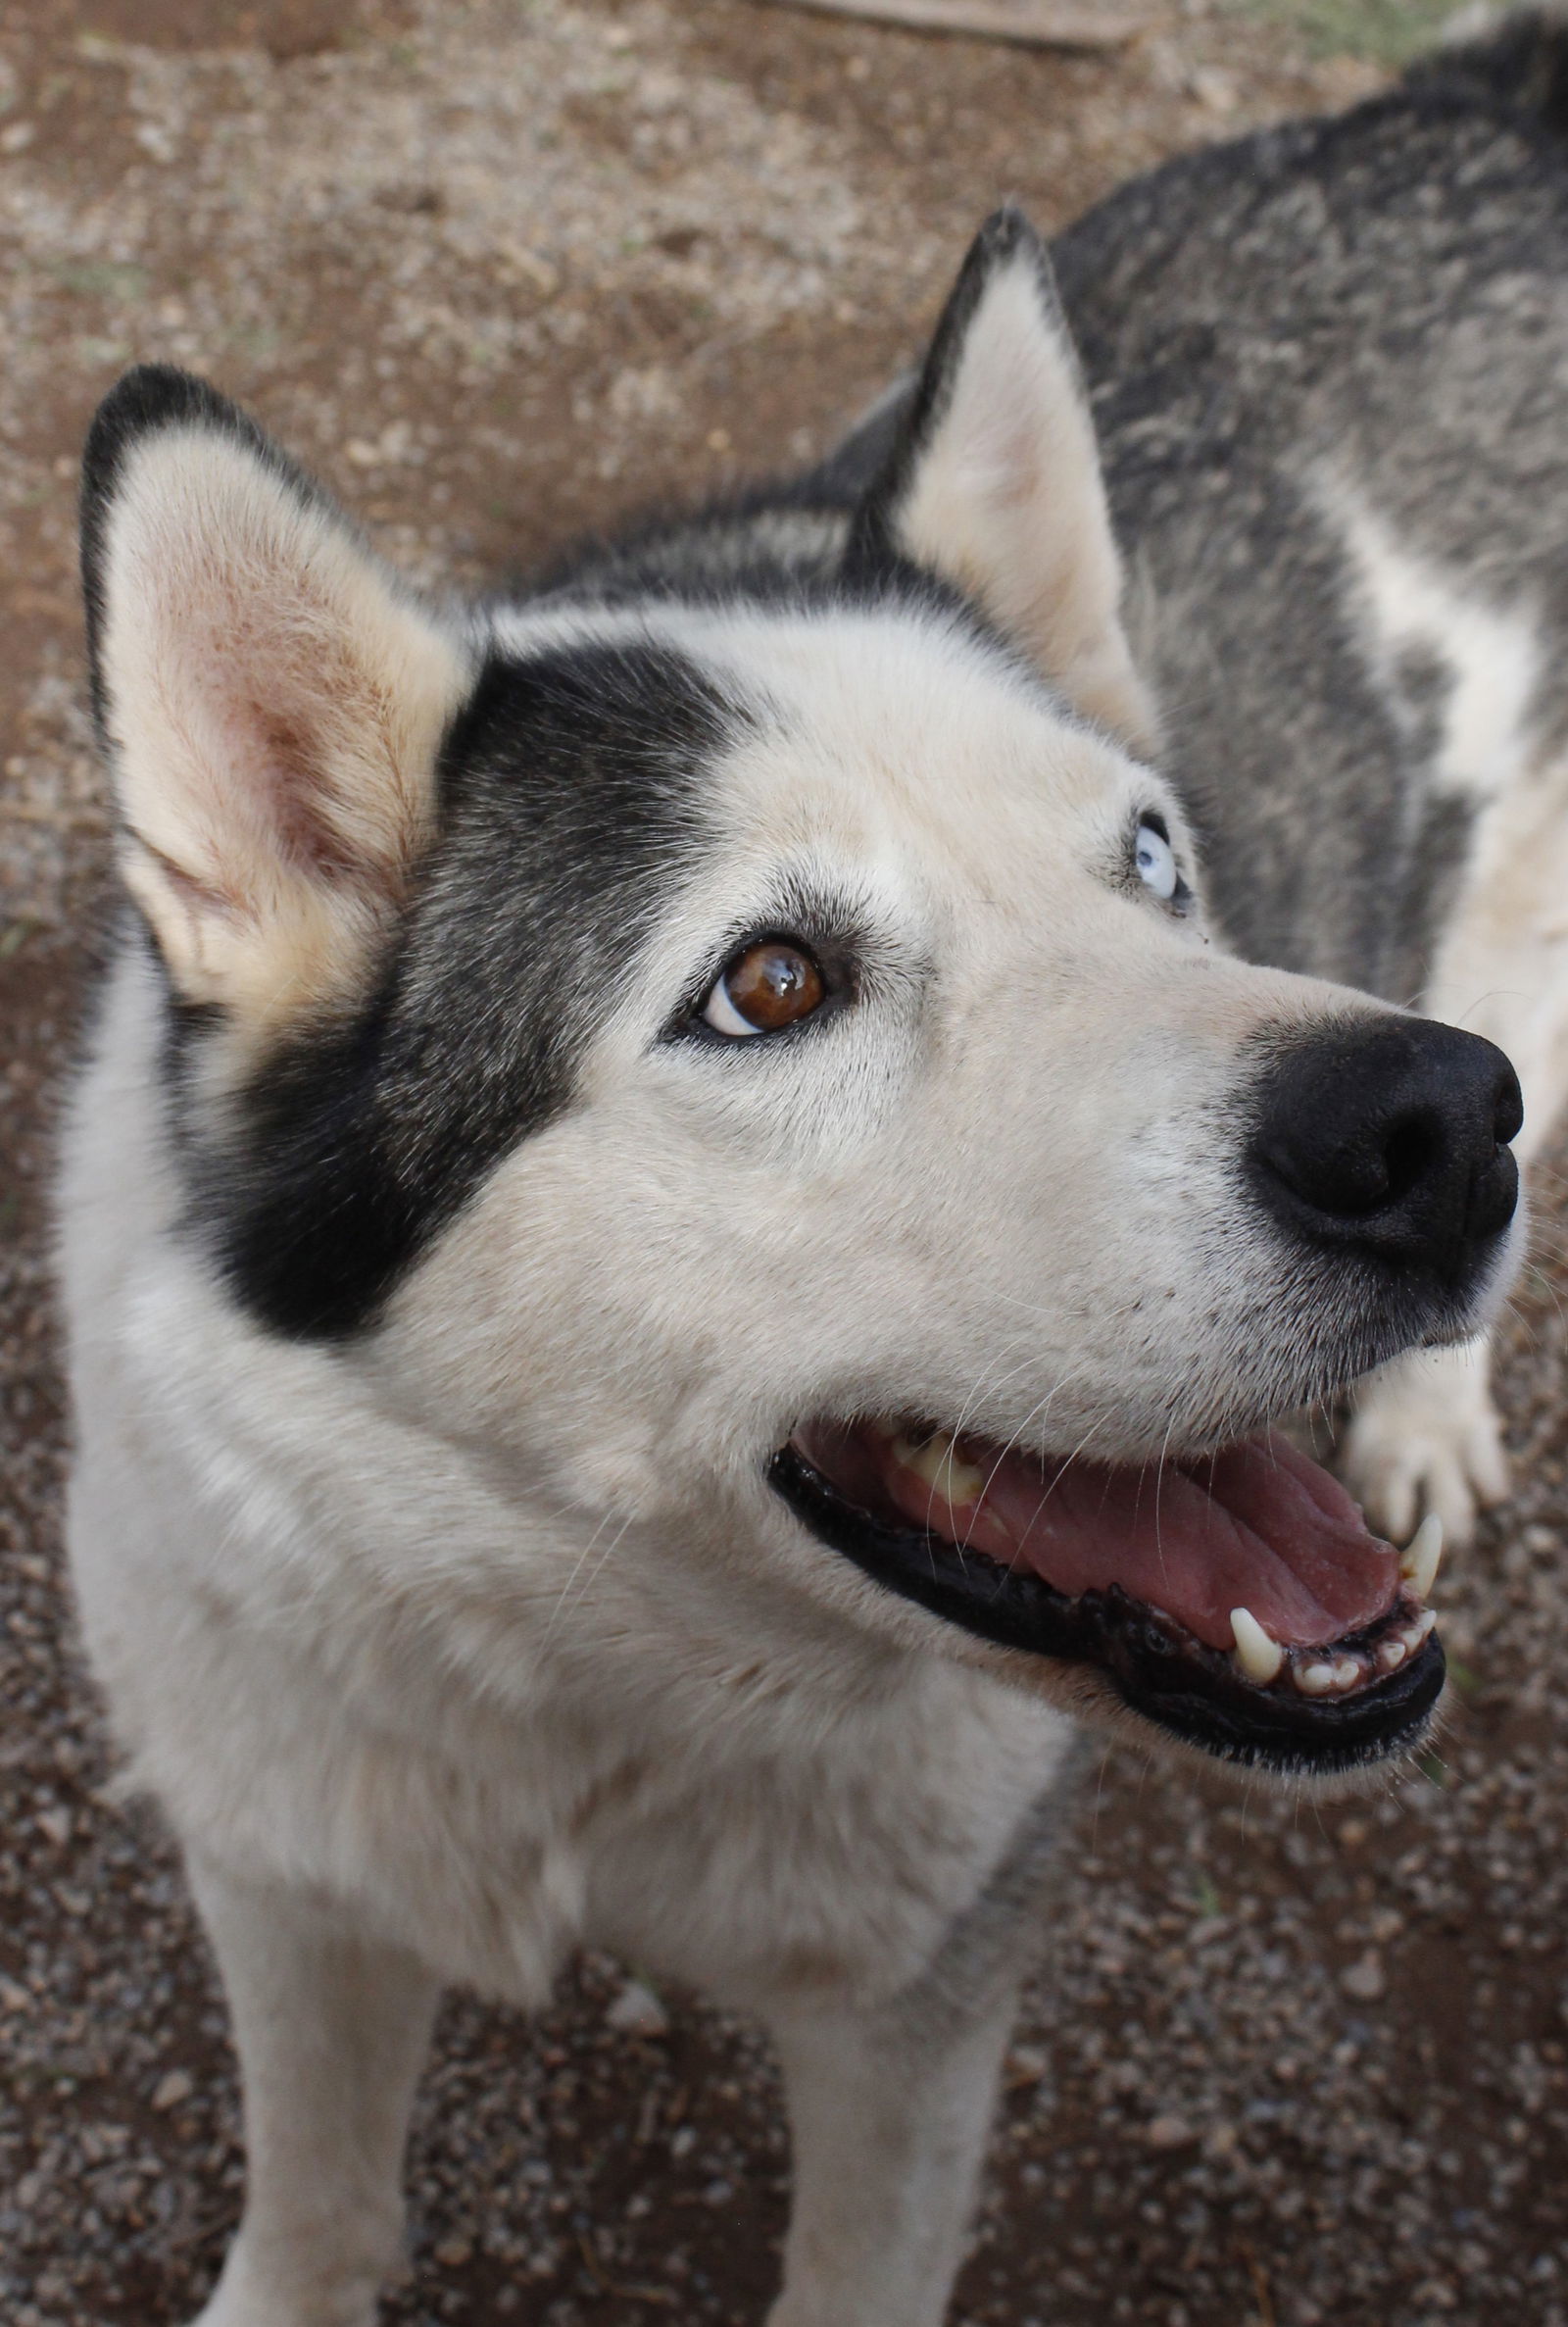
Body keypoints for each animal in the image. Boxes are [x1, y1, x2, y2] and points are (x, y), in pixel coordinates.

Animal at [58, 18, 1553, 2327]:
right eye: (768, 984)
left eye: (1153, 860)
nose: (1430, 1128)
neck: (582, 1666)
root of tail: (1460, 108)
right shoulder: (290, 1869)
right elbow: (309, 2207)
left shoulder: (903, 2015)